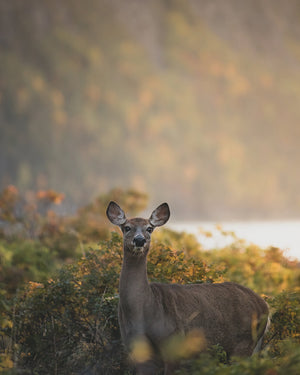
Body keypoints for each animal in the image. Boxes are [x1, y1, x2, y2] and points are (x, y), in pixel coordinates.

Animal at [106, 203, 270, 375]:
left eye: (149, 228)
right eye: (126, 227)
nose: (139, 240)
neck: (144, 309)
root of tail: (264, 305)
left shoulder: (174, 342)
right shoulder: (136, 349)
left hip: (244, 342)